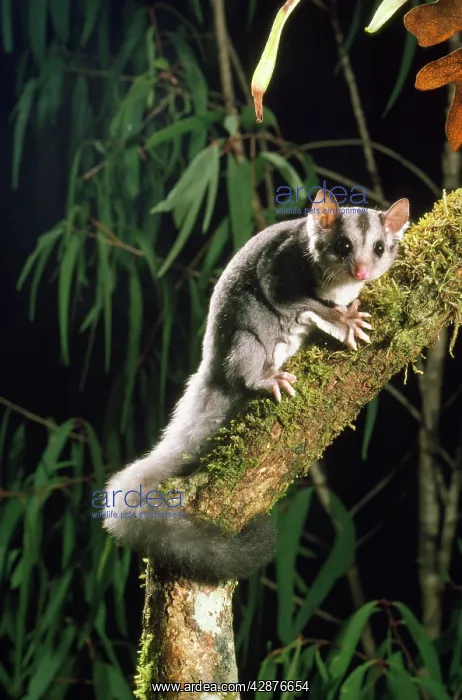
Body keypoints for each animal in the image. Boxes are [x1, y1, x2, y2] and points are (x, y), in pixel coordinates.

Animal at [102, 189, 410, 582]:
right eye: (343, 245)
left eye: (379, 248)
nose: (362, 271)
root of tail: (211, 371)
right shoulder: (281, 265)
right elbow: (295, 299)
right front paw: (344, 320)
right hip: (243, 344)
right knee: (246, 355)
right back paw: (267, 376)